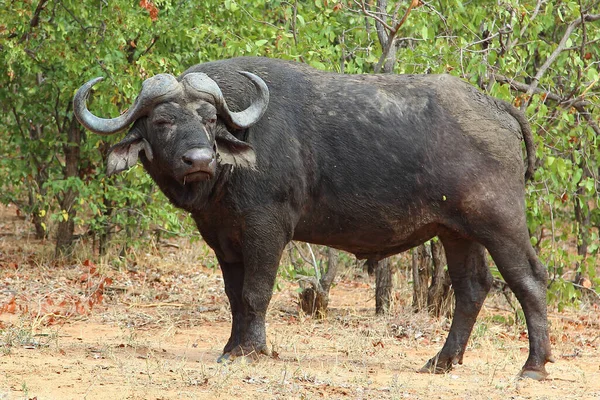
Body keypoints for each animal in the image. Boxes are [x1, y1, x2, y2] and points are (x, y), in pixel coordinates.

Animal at [74, 56, 552, 378]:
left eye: (209, 119)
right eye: (162, 121)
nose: (199, 160)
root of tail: (496, 106)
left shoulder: (267, 229)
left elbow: (255, 293)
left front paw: (254, 350)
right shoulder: (222, 238)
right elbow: (234, 297)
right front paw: (232, 346)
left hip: (500, 223)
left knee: (529, 279)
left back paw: (533, 364)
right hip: (456, 232)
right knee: (472, 288)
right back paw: (442, 360)